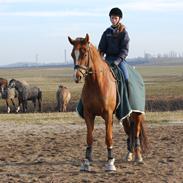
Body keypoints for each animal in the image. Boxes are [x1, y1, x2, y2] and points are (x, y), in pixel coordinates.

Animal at [68, 34, 148, 172]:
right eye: (73, 54)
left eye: (84, 53)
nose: (77, 77)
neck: (96, 83)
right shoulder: (89, 115)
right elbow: (89, 138)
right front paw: (86, 162)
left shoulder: (108, 114)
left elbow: (108, 138)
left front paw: (110, 162)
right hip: (125, 115)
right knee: (130, 132)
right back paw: (129, 154)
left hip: (136, 114)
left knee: (136, 133)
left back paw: (138, 157)